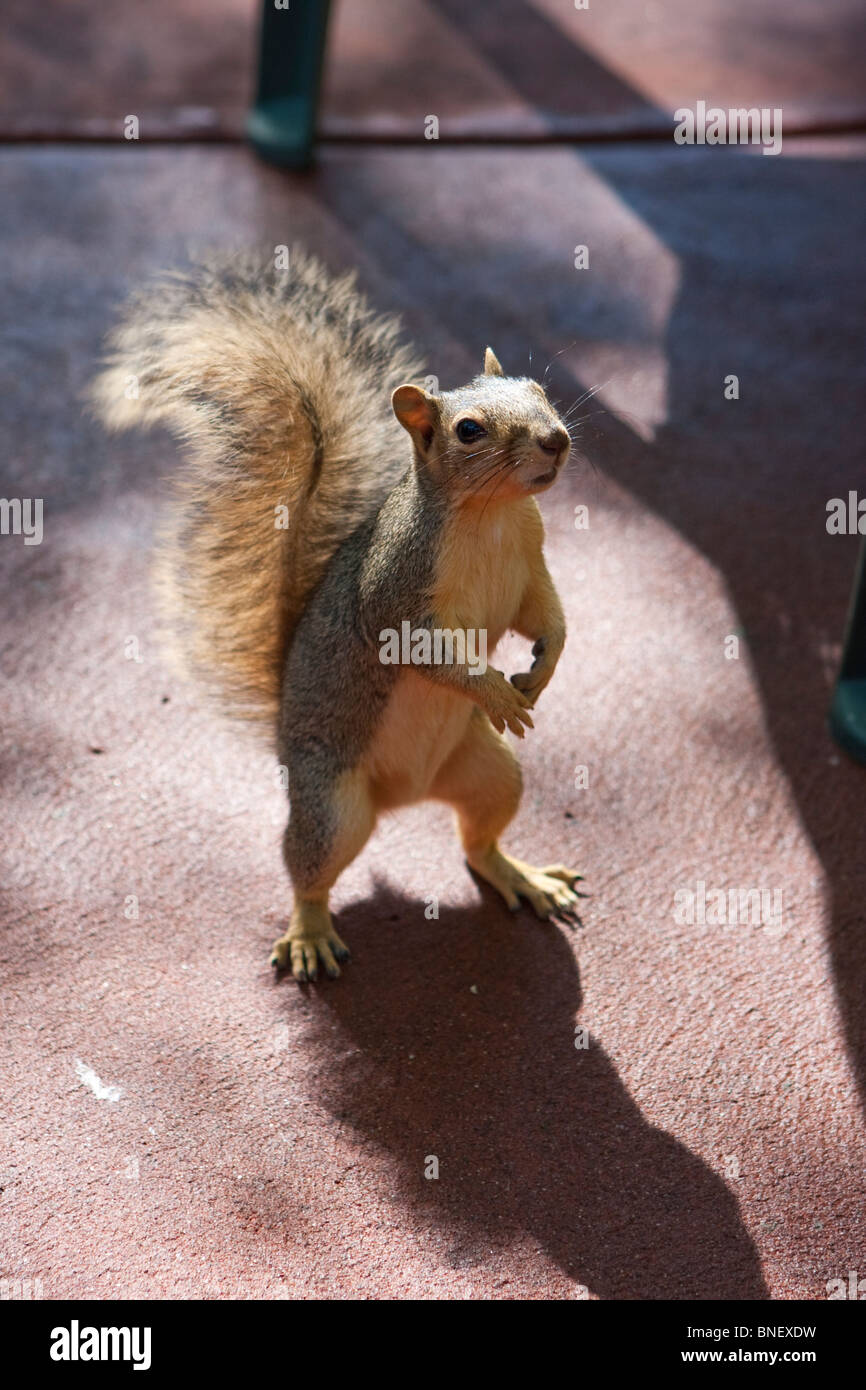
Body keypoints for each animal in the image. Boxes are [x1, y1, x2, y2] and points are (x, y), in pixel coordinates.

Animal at [91, 249, 582, 981]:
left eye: (539, 388)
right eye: (468, 430)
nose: (556, 439)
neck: (492, 517)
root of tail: (406, 797)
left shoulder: (531, 568)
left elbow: (546, 616)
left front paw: (542, 671)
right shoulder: (394, 589)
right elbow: (420, 650)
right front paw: (494, 689)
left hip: (491, 771)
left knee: (478, 843)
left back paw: (522, 876)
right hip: (331, 805)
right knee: (309, 871)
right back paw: (309, 933)